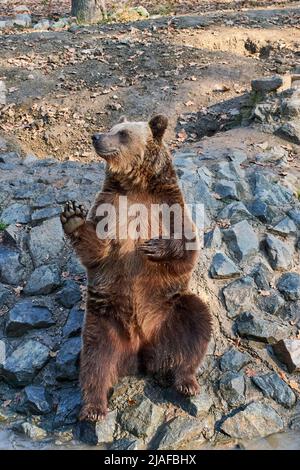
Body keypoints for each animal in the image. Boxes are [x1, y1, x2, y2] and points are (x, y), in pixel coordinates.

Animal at [60, 114, 211, 422]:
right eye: (112, 129)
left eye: (123, 133)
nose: (96, 137)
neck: (136, 185)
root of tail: (141, 351)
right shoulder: (110, 207)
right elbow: (97, 251)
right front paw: (73, 216)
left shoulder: (168, 205)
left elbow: (188, 245)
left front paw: (154, 247)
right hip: (105, 321)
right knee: (95, 359)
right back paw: (93, 407)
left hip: (170, 311)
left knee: (197, 324)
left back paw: (186, 381)